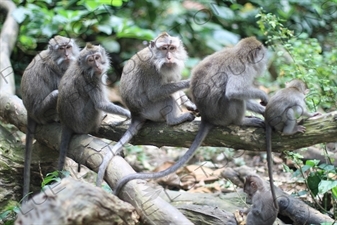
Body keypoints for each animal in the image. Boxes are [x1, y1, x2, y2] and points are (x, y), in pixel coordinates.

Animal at [20, 35, 79, 200]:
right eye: (61, 48)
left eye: (68, 47)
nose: (67, 55)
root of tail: (30, 112)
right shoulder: (57, 69)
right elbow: (65, 92)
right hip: (42, 113)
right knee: (56, 94)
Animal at [57, 43, 131, 179]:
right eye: (90, 60)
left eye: (97, 57)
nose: (97, 66)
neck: (82, 68)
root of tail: (66, 123)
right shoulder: (91, 80)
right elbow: (100, 104)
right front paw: (128, 114)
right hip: (85, 123)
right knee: (94, 105)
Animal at [94, 31, 197, 186]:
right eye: (164, 48)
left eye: (172, 48)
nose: (169, 57)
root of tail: (135, 114)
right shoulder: (150, 69)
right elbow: (155, 93)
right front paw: (189, 82)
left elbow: (173, 82)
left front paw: (190, 103)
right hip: (151, 110)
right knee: (167, 98)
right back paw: (174, 120)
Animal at [264, 78, 318, 209]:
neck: (293, 88)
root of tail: (267, 119)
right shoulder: (299, 97)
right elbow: (302, 109)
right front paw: (312, 114)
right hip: (280, 121)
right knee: (292, 110)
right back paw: (290, 131)